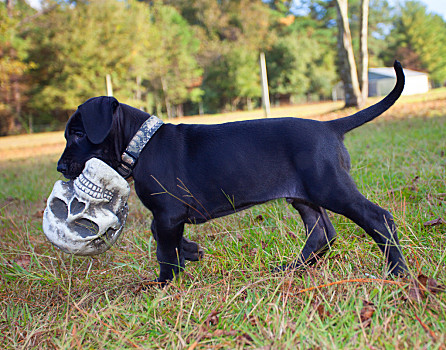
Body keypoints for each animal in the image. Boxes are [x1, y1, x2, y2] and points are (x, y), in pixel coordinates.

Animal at [58, 61, 408, 284]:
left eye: (78, 134)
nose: (60, 167)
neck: (140, 143)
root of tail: (331, 126)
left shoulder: (168, 211)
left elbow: (163, 247)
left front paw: (165, 283)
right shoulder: (169, 214)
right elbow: (161, 236)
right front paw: (191, 252)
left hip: (329, 186)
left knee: (377, 218)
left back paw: (398, 273)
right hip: (304, 196)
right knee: (322, 233)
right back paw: (291, 269)